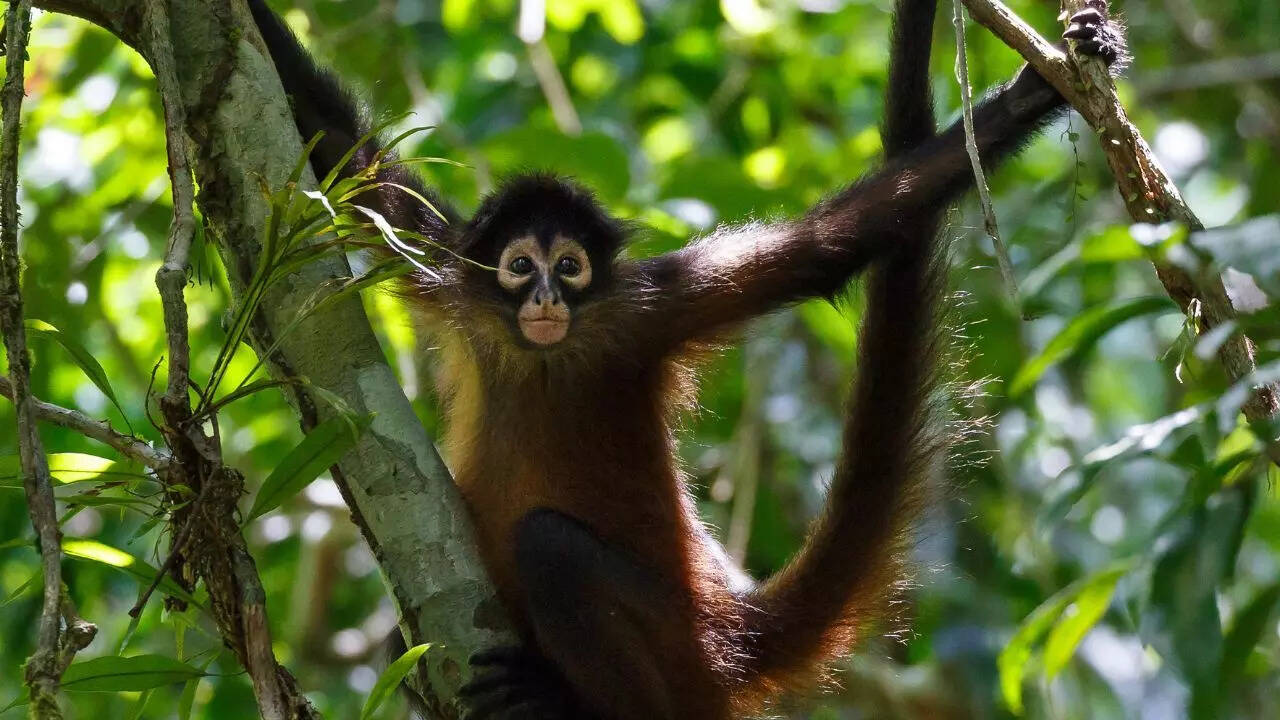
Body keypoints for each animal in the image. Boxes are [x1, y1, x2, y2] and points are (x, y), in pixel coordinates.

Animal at [245, 1, 1125, 717]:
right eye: (521, 265)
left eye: (570, 266)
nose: (546, 300)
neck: (549, 355)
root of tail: (725, 629)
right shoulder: (457, 276)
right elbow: (346, 157)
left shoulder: (651, 305)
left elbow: (833, 245)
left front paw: (1030, 95)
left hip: (669, 640)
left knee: (551, 548)